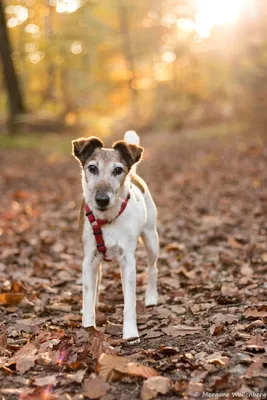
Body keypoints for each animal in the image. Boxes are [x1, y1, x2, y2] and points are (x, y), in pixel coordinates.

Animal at [72, 132, 159, 340]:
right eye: (92, 168)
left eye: (118, 170)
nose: (102, 199)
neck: (107, 219)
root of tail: (134, 174)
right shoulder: (89, 259)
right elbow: (88, 295)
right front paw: (88, 328)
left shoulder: (127, 260)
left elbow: (129, 304)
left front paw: (130, 333)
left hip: (151, 238)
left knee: (153, 268)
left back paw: (151, 297)